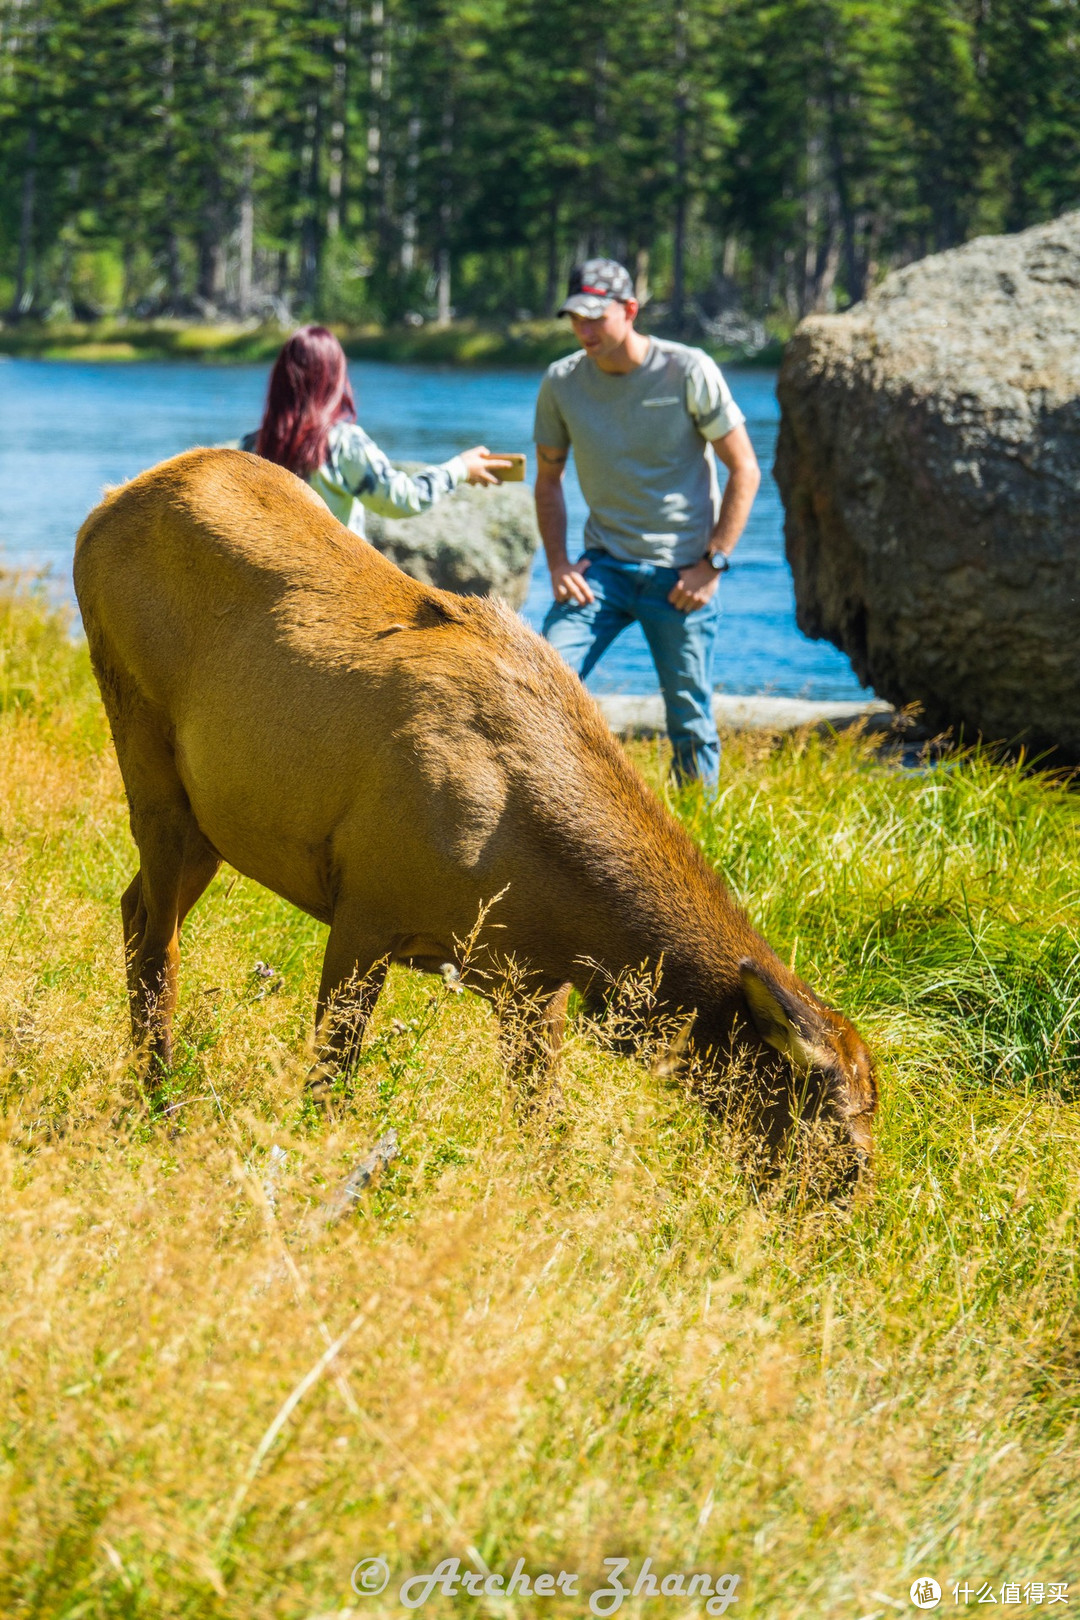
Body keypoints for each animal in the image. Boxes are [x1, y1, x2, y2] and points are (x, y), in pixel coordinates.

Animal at [71, 450, 874, 1172]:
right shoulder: (366, 905)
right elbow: (331, 1074)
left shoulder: (530, 986)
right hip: (144, 748)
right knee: (158, 935)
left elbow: (541, 1120)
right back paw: (157, 1097)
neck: (562, 910)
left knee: (135, 904)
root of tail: (106, 503)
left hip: (209, 817)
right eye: (836, 1136)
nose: (845, 1214)